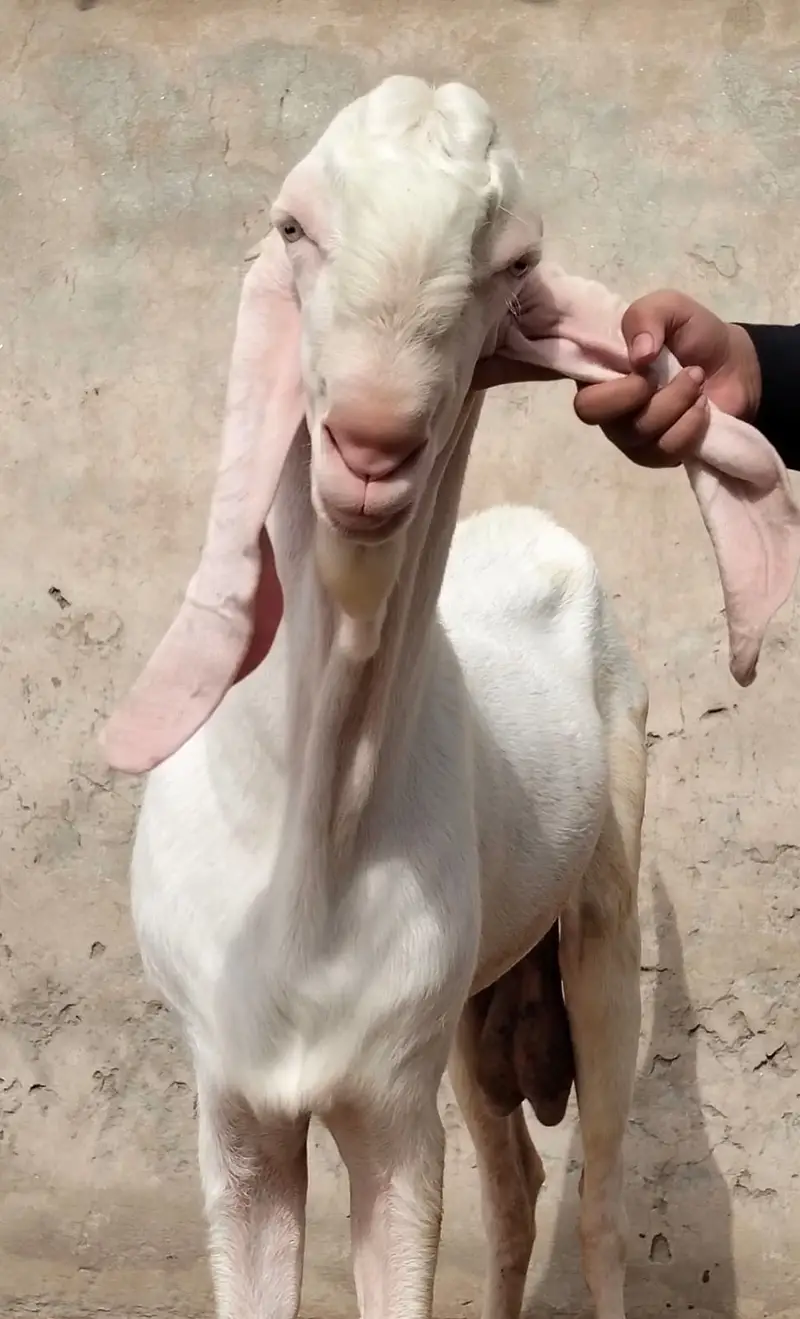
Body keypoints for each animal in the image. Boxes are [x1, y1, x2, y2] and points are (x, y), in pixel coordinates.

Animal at [101, 76, 800, 1319]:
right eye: (293, 227)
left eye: (512, 262)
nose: (370, 445)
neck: (311, 845)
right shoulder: (233, 1107)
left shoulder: (392, 1096)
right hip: (481, 1003)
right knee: (516, 1180)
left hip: (597, 924)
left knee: (595, 1192)